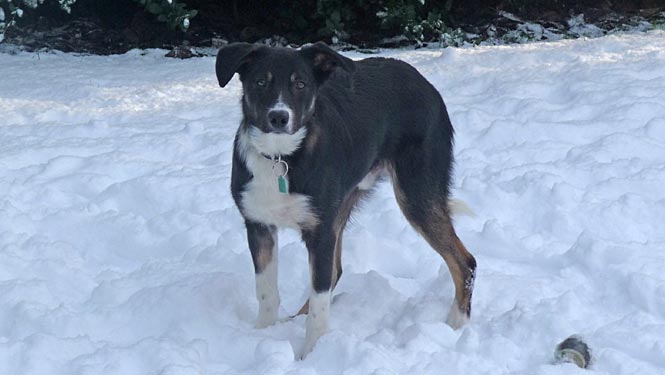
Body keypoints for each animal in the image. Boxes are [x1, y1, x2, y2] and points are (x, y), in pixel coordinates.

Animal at [215, 41, 474, 358]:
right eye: (260, 82)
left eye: (300, 84)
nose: (279, 117)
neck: (281, 157)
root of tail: (425, 83)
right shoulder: (258, 224)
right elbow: (266, 291)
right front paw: (262, 335)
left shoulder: (320, 231)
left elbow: (319, 303)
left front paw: (311, 355)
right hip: (345, 204)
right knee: (334, 271)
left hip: (417, 194)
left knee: (465, 261)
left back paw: (455, 325)